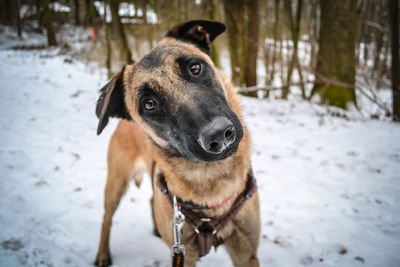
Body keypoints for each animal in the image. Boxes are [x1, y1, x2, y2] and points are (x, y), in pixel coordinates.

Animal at [95, 19, 260, 266]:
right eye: (149, 104)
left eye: (195, 68)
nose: (219, 134)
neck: (211, 182)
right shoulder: (186, 255)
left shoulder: (246, 253)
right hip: (116, 182)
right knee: (107, 217)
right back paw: (103, 254)